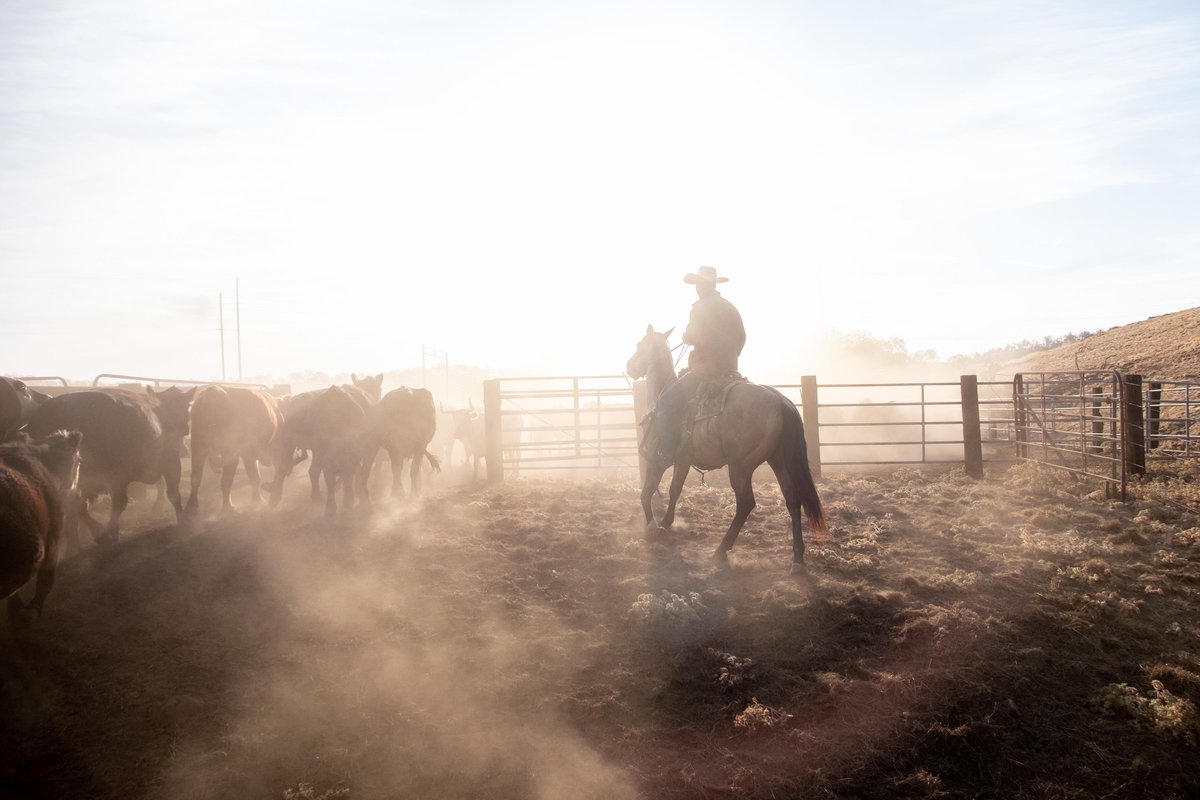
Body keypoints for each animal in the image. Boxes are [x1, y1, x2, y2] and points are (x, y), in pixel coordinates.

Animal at [25, 387, 194, 546]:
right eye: (186, 406)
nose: (186, 430)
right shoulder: (170, 462)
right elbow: (172, 494)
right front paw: (182, 521)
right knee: (86, 504)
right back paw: (100, 534)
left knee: (74, 507)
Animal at [625, 325, 827, 573]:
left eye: (639, 345)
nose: (629, 366)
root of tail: (780, 401)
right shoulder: (682, 460)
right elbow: (674, 490)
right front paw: (666, 523)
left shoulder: (657, 461)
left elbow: (646, 493)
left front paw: (654, 527)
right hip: (778, 460)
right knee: (792, 498)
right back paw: (797, 558)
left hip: (740, 466)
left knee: (746, 503)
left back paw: (721, 550)